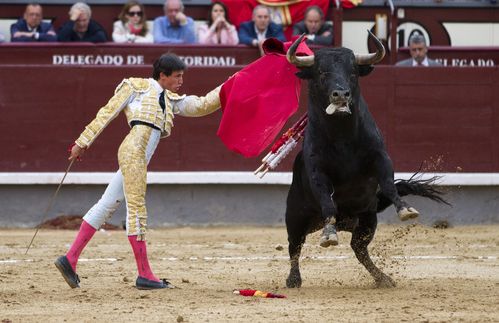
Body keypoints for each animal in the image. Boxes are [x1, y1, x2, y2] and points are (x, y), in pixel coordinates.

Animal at [286, 31, 450, 288]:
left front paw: (405, 209)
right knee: (295, 247)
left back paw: (383, 278)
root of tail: (345, 222)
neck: (342, 136)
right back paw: (294, 278)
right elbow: (327, 200)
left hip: (367, 220)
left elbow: (390, 185)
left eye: (353, 72)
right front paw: (328, 233)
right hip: (295, 218)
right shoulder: (316, 171)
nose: (341, 95)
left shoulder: (380, 157)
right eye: (321, 73)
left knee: (359, 249)